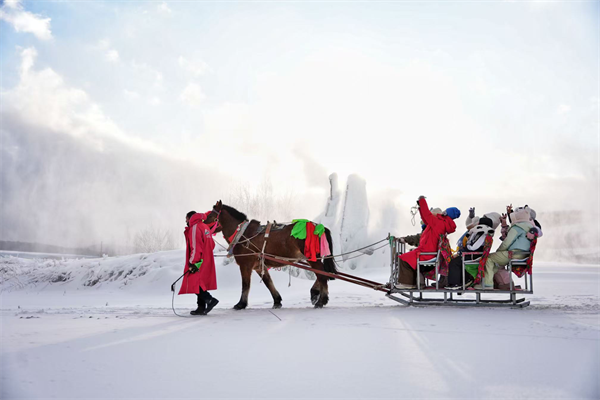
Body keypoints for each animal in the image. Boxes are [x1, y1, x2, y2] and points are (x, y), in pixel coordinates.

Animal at [204, 200, 338, 310]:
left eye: (210, 215)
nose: (203, 224)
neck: (242, 235)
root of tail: (319, 227)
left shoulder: (245, 265)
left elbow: (245, 285)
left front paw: (241, 304)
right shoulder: (259, 266)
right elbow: (268, 282)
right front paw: (277, 301)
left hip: (312, 258)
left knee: (322, 275)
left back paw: (321, 300)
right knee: (324, 274)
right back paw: (315, 293)